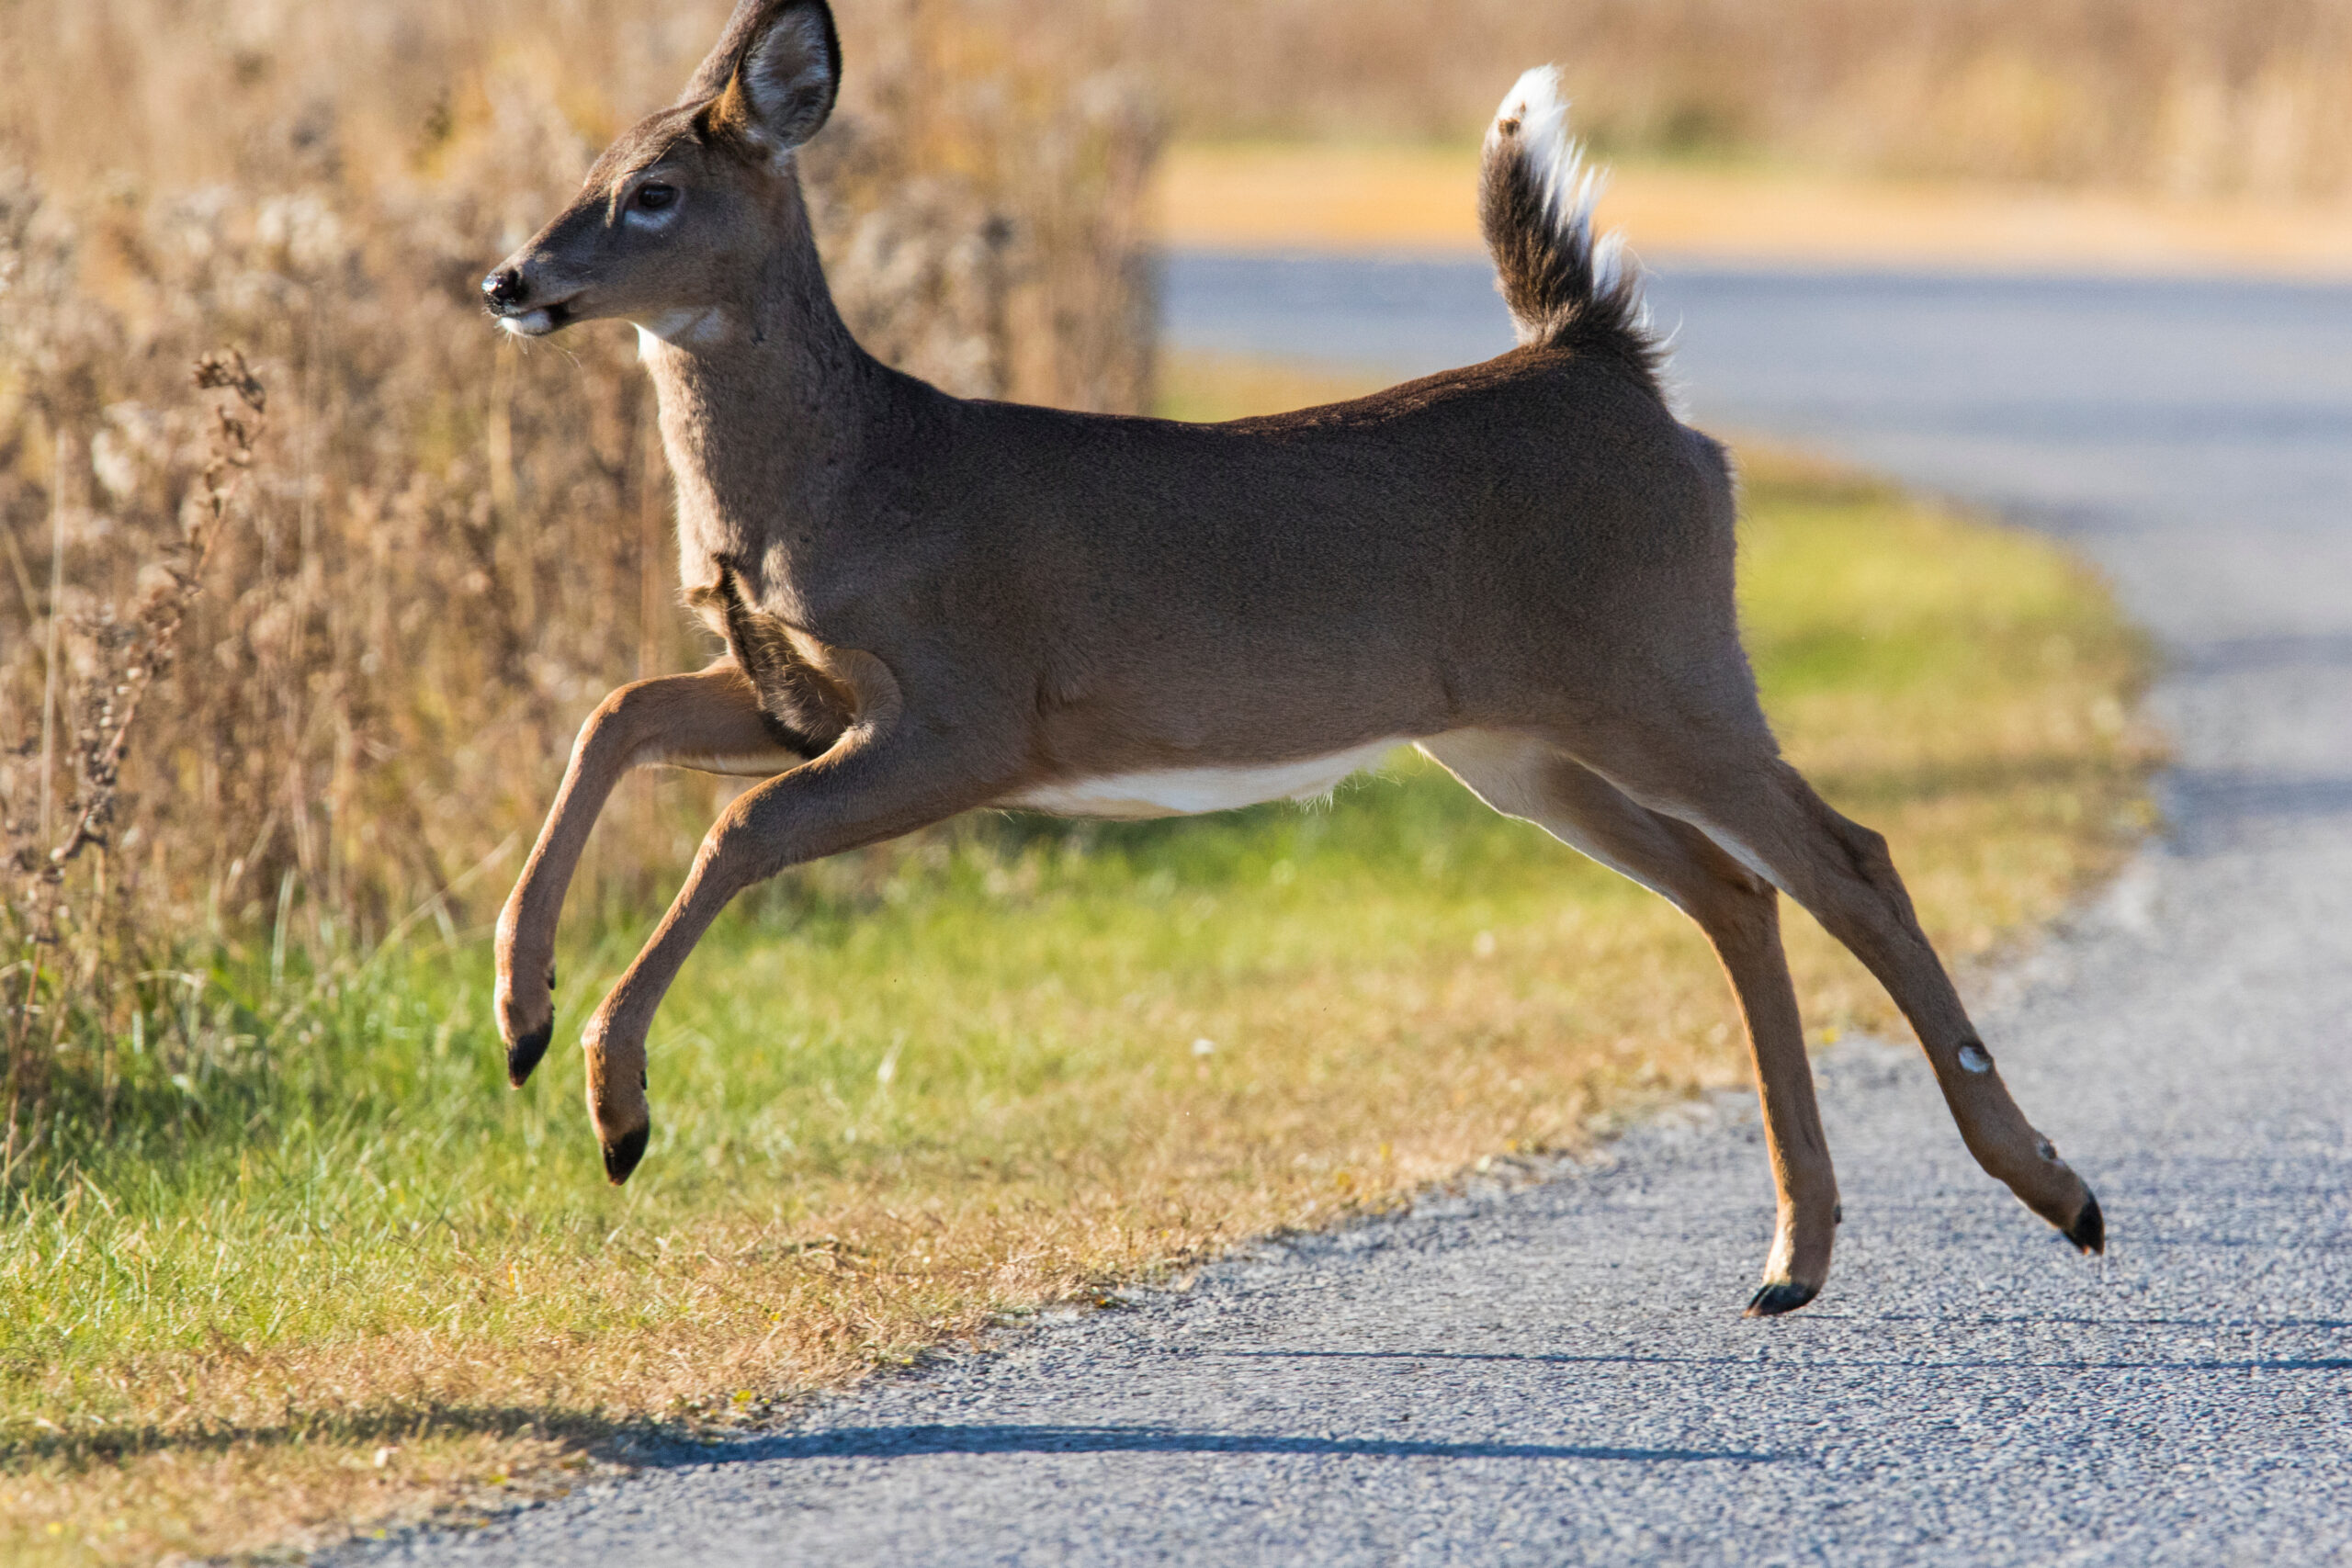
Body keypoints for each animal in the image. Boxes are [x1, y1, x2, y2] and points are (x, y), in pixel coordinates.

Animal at [486, 0, 2107, 1325]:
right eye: (585, 167)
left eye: (653, 191)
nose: (509, 278)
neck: (843, 478)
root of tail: (1610, 365)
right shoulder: (792, 694)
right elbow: (615, 711)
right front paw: (522, 1014)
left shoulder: (969, 708)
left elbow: (737, 824)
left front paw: (615, 1108)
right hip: (1521, 740)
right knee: (1736, 888)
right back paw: (1793, 1258)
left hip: (1666, 666)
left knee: (1849, 857)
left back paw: (2057, 1191)